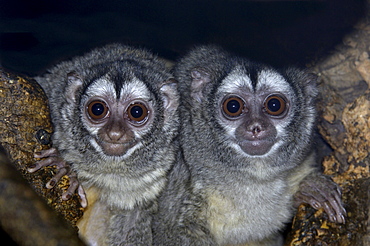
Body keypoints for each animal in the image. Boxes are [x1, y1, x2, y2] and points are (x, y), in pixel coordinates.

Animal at [28, 43, 179, 245]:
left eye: (137, 112)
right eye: (97, 109)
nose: (114, 133)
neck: (107, 167)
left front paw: (63, 168)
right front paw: (62, 167)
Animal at [152, 45, 346, 245]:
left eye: (274, 105)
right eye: (233, 106)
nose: (256, 127)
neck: (254, 176)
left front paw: (313, 189)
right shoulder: (180, 176)